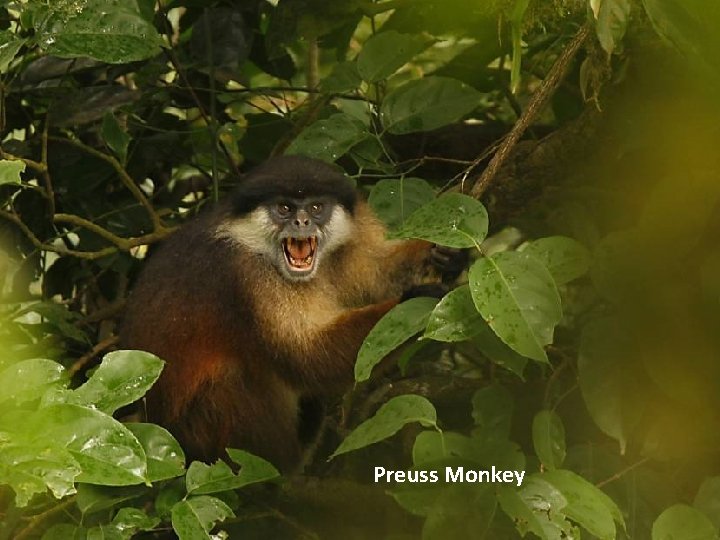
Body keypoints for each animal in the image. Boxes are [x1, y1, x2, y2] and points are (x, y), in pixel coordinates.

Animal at [120, 155, 465, 471]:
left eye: (316, 208)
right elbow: (305, 356)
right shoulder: (248, 274)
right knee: (231, 379)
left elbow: (380, 275)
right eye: (284, 208)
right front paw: (416, 299)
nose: (301, 223)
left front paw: (449, 255)